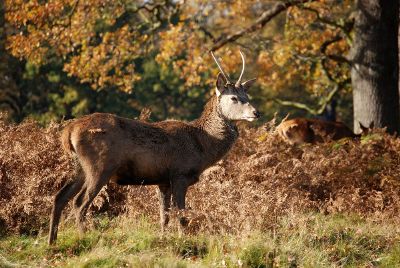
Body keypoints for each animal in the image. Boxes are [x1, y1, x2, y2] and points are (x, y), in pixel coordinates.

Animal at [48, 50, 260, 245]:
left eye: (247, 95)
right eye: (233, 98)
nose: (256, 112)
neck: (202, 146)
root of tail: (68, 132)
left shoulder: (163, 180)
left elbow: (163, 216)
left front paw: (163, 239)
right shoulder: (180, 174)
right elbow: (181, 215)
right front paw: (183, 241)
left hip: (79, 167)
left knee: (60, 197)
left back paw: (52, 241)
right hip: (100, 166)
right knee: (79, 202)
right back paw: (83, 238)